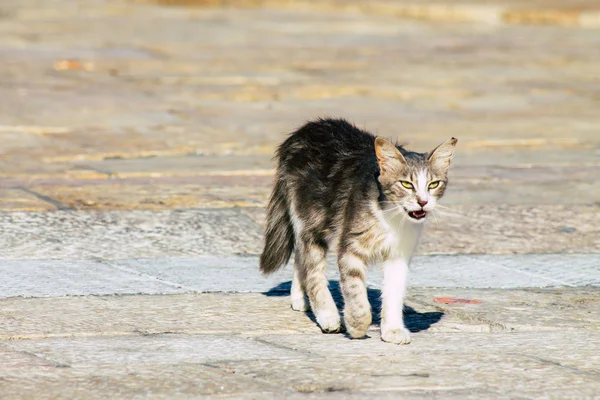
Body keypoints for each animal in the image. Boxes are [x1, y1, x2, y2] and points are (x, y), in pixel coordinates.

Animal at [258, 118, 454, 344]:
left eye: (433, 184)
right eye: (406, 184)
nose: (423, 201)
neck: (391, 216)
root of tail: (305, 129)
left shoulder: (399, 254)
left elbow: (394, 293)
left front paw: (392, 329)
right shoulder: (351, 247)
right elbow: (355, 291)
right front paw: (357, 324)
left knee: (301, 256)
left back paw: (300, 298)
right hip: (313, 219)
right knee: (312, 268)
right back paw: (327, 316)